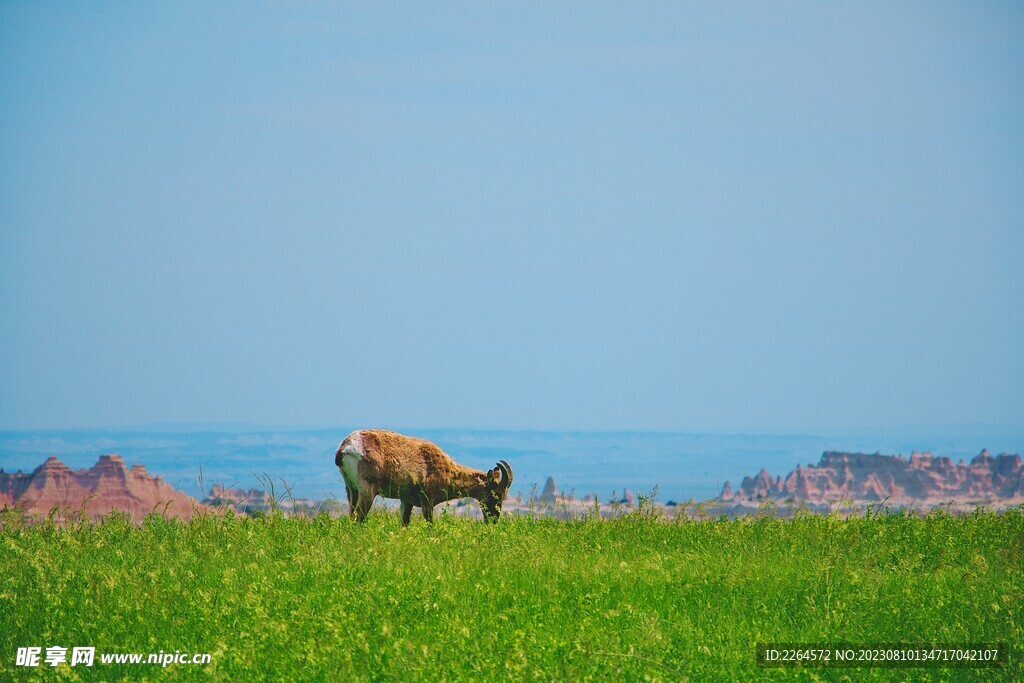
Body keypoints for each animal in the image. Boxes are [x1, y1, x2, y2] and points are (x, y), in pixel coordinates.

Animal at [333, 430, 512, 528]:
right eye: (495, 494)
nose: (493, 520)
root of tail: (346, 447)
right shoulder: (427, 501)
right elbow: (429, 525)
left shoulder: (407, 501)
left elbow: (404, 524)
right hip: (367, 491)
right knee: (358, 517)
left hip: (351, 490)